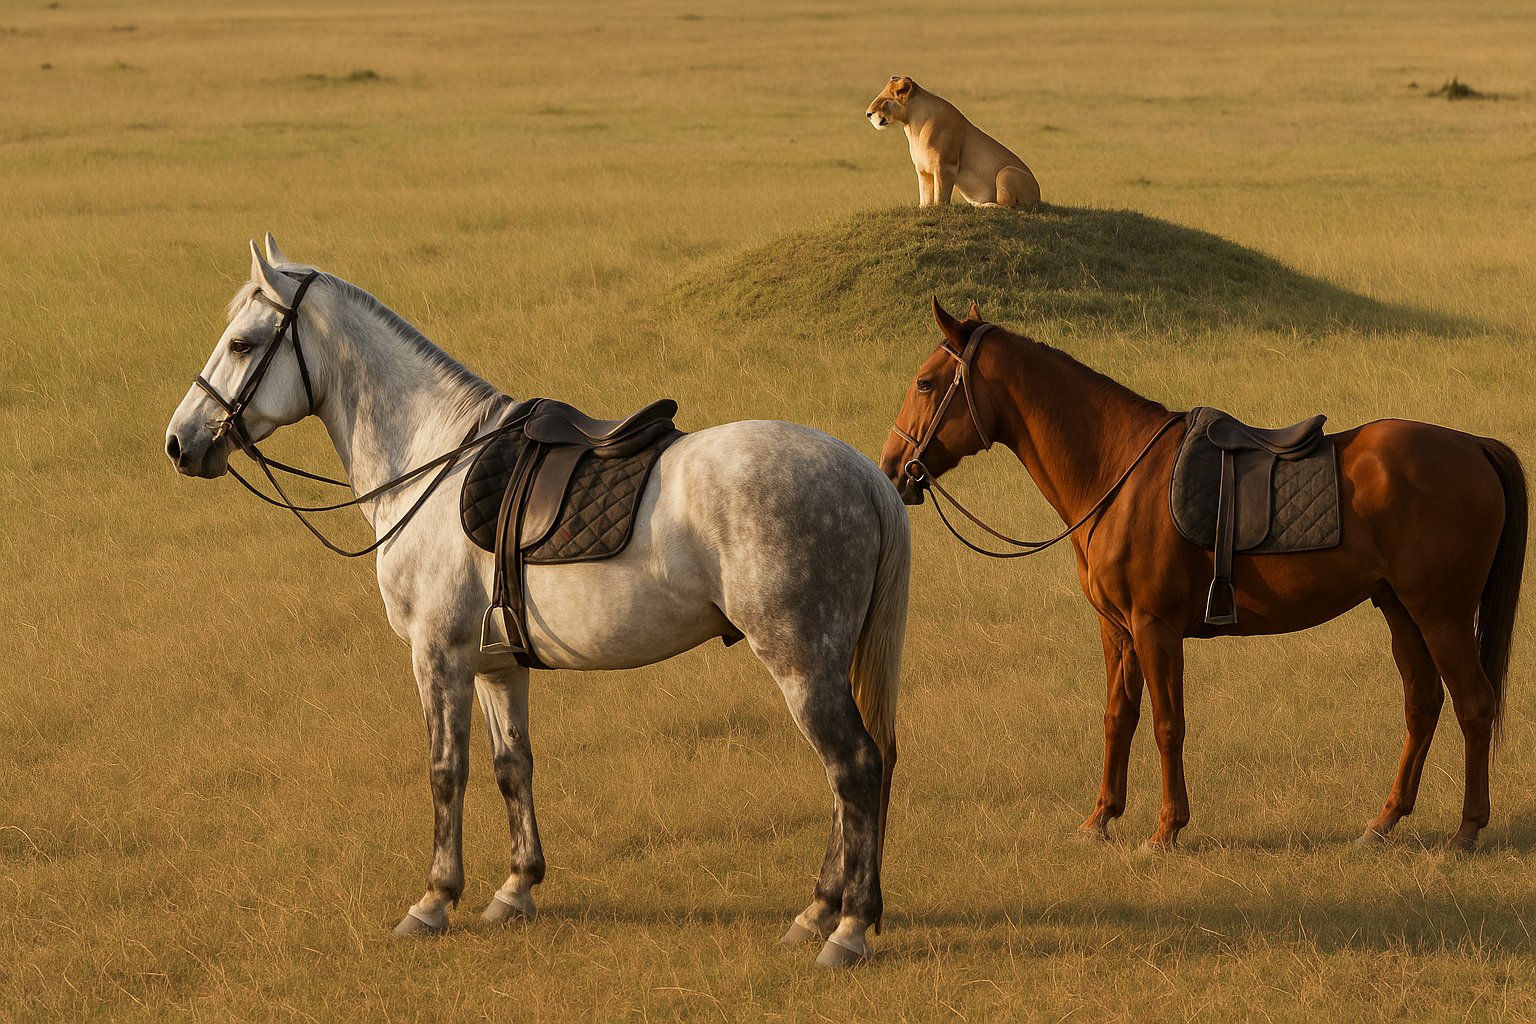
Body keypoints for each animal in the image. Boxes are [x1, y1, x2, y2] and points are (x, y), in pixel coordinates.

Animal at [163, 236, 910, 968]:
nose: (179, 442)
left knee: (854, 768)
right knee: (853, 775)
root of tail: (863, 475)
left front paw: (434, 900)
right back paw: (818, 912)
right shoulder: (496, 665)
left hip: (801, 663)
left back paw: (847, 927)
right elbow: (511, 766)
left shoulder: (439, 655)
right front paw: (516, 888)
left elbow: (446, 771)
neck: (436, 460)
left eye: (242, 344)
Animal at [881, 298, 1526, 852]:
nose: (892, 466)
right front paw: (1100, 818)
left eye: (925, 382)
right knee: (1423, 705)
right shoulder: (1118, 630)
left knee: (1474, 704)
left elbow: (1168, 723)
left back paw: (1466, 831)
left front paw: (1166, 828)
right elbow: (1119, 717)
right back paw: (1384, 821)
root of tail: (1472, 446)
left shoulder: (1155, 628)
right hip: (1401, 611)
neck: (1120, 471)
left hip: (1441, 615)